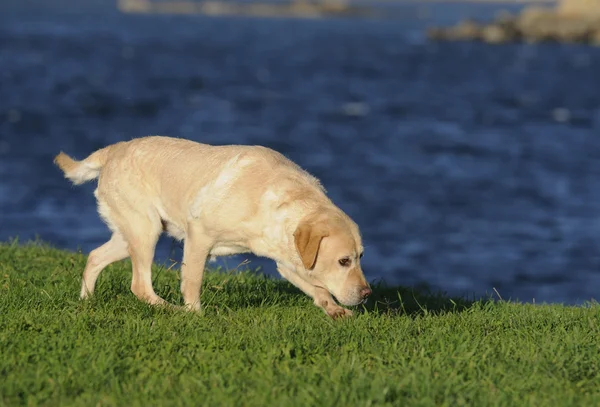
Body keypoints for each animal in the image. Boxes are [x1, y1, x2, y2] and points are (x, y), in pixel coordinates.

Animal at [55, 137, 370, 318]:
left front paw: (333, 309)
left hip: (131, 234)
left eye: (360, 257)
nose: (367, 293)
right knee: (140, 285)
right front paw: (195, 314)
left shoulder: (288, 261)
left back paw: (86, 301)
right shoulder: (199, 235)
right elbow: (192, 281)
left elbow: (318, 287)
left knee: (95, 257)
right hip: (146, 231)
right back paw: (172, 310)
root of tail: (113, 150)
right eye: (344, 261)